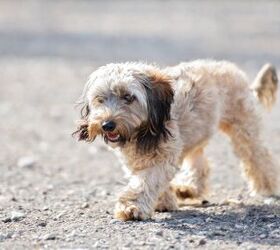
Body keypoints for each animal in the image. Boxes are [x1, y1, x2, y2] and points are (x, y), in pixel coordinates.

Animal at [73, 60, 278, 221]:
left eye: (128, 97)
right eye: (100, 99)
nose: (107, 124)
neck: (142, 130)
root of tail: (234, 71)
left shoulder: (163, 157)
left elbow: (145, 182)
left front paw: (131, 207)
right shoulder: (136, 161)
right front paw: (164, 201)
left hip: (244, 128)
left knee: (258, 156)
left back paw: (266, 186)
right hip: (196, 134)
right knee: (200, 163)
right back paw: (188, 188)